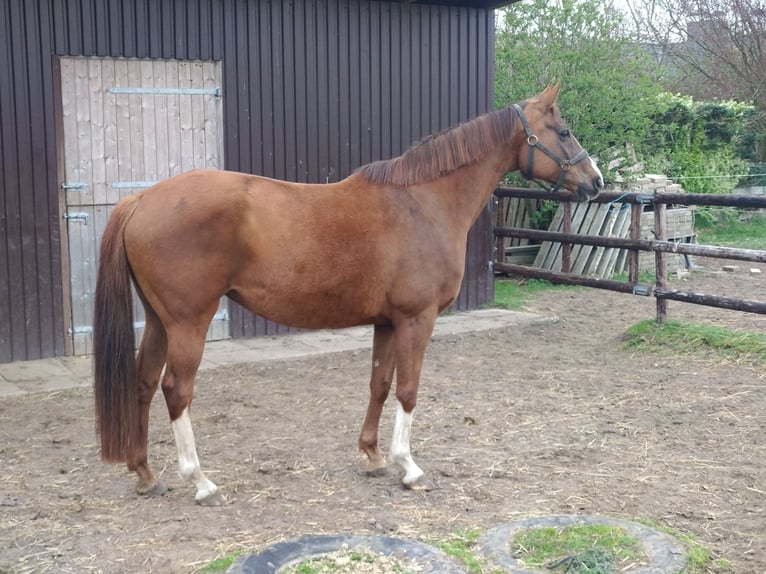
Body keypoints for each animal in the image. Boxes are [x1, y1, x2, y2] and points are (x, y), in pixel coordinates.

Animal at [93, 82, 604, 505]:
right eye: (564, 130)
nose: (596, 182)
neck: (423, 202)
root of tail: (141, 199)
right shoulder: (417, 319)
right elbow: (409, 390)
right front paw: (409, 467)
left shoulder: (387, 322)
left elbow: (379, 383)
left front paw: (374, 457)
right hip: (189, 321)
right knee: (176, 390)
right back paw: (200, 482)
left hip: (159, 320)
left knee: (142, 383)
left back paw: (146, 474)